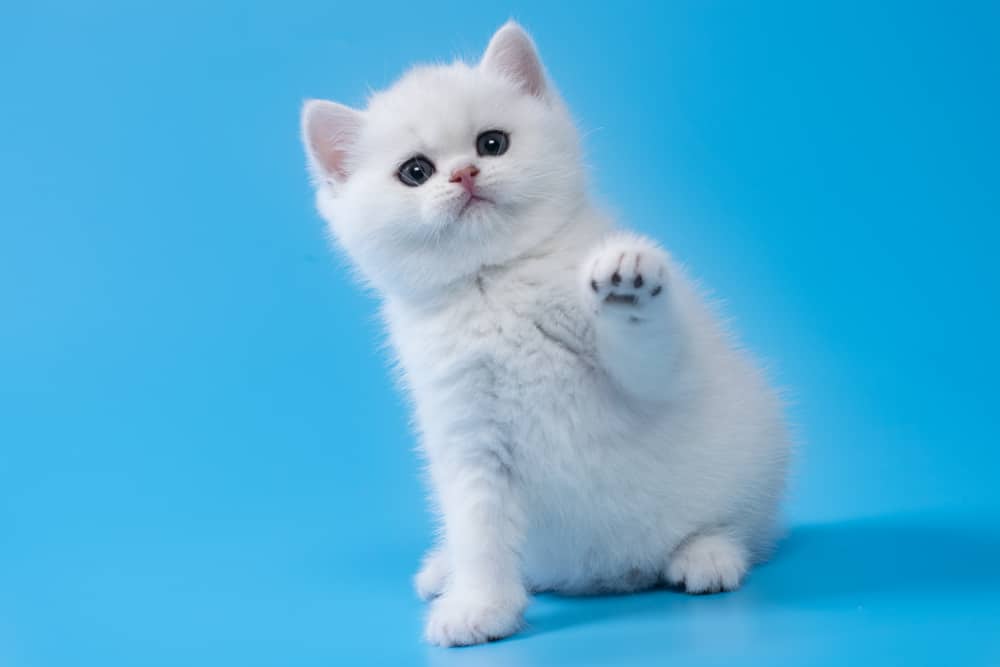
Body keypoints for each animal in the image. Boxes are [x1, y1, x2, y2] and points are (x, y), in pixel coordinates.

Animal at [298, 22, 788, 648]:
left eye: (492, 143)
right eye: (416, 172)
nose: (464, 174)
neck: (494, 282)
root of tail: (616, 574)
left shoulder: (657, 378)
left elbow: (650, 361)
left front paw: (625, 286)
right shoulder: (468, 435)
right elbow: (479, 531)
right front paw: (479, 606)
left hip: (755, 447)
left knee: (745, 525)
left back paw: (706, 554)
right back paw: (442, 569)